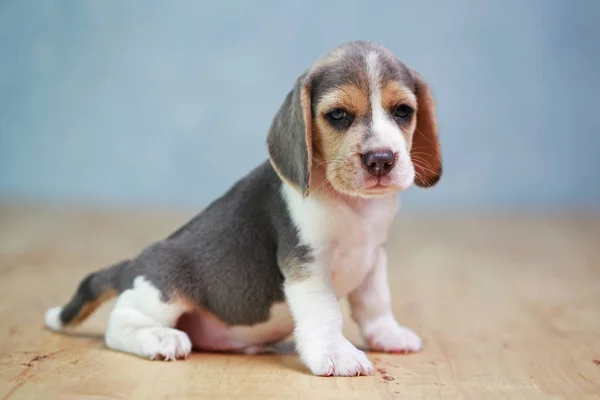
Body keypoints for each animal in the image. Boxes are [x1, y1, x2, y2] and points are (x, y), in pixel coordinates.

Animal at [44, 40, 440, 376]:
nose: (381, 160)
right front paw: (335, 353)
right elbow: (325, 312)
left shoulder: (373, 257)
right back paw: (159, 338)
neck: (352, 205)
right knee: (119, 326)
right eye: (338, 115)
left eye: (403, 111)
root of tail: (132, 265)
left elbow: (376, 303)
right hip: (163, 290)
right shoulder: (307, 266)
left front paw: (387, 335)